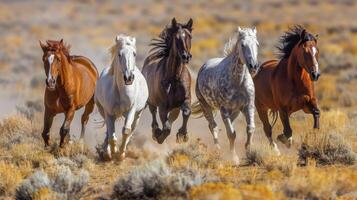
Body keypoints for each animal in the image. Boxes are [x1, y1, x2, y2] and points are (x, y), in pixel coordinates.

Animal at [192, 27, 258, 164]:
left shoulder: (248, 107)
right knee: (213, 126)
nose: (253, 66)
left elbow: (250, 128)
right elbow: (231, 133)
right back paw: (218, 150)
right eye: (242, 44)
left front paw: (249, 152)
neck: (238, 82)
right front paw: (234, 158)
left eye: (257, 44)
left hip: (236, 111)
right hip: (205, 106)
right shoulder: (224, 110)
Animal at [253, 25, 320, 153]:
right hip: (261, 108)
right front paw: (285, 140)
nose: (315, 75)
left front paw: (312, 138)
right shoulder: (282, 108)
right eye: (305, 52)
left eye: (317, 51)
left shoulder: (307, 104)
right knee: (267, 129)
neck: (295, 80)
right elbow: (288, 131)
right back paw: (276, 150)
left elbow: (316, 114)